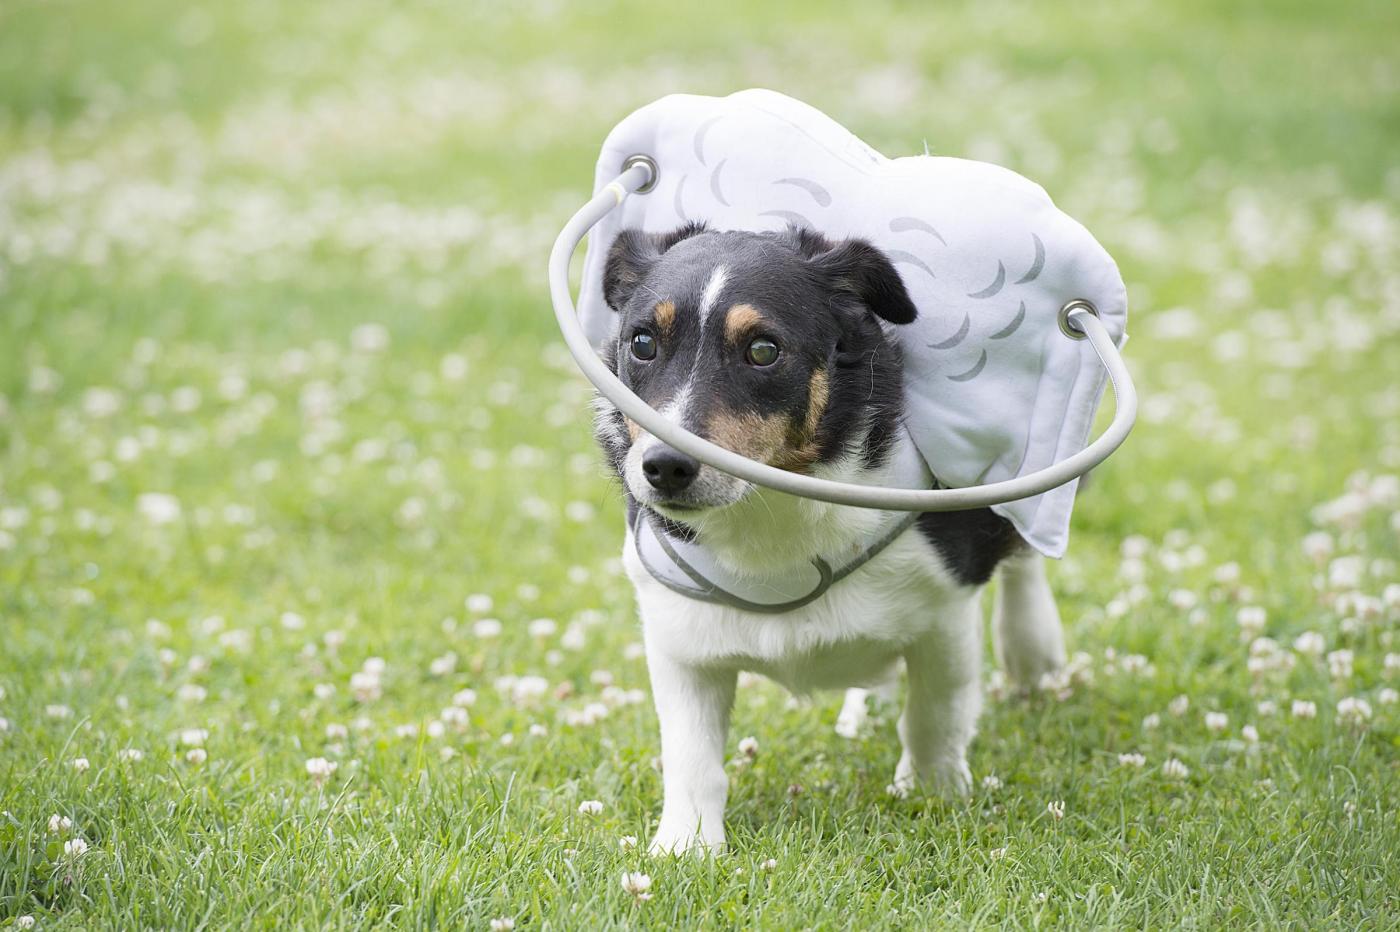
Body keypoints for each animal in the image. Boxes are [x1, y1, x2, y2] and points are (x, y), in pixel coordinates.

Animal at [596, 223, 1064, 850]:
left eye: (763, 350)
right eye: (642, 342)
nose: (665, 467)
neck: (773, 512)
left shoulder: (944, 612)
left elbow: (935, 714)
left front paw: (934, 794)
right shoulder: (680, 637)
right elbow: (691, 756)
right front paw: (685, 847)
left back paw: (1031, 650)